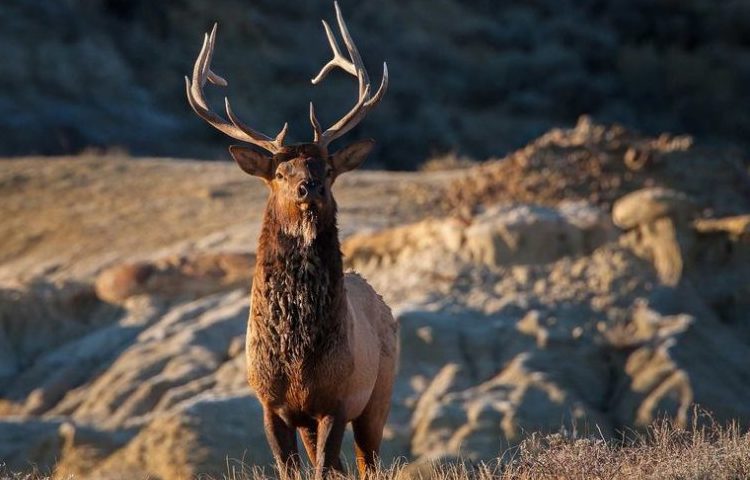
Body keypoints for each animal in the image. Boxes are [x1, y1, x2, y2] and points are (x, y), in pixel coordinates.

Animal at [184, 3, 400, 480]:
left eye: (328, 168)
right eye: (281, 172)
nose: (310, 187)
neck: (298, 358)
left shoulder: (336, 399)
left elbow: (323, 468)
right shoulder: (271, 404)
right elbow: (293, 469)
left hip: (378, 394)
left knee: (367, 461)